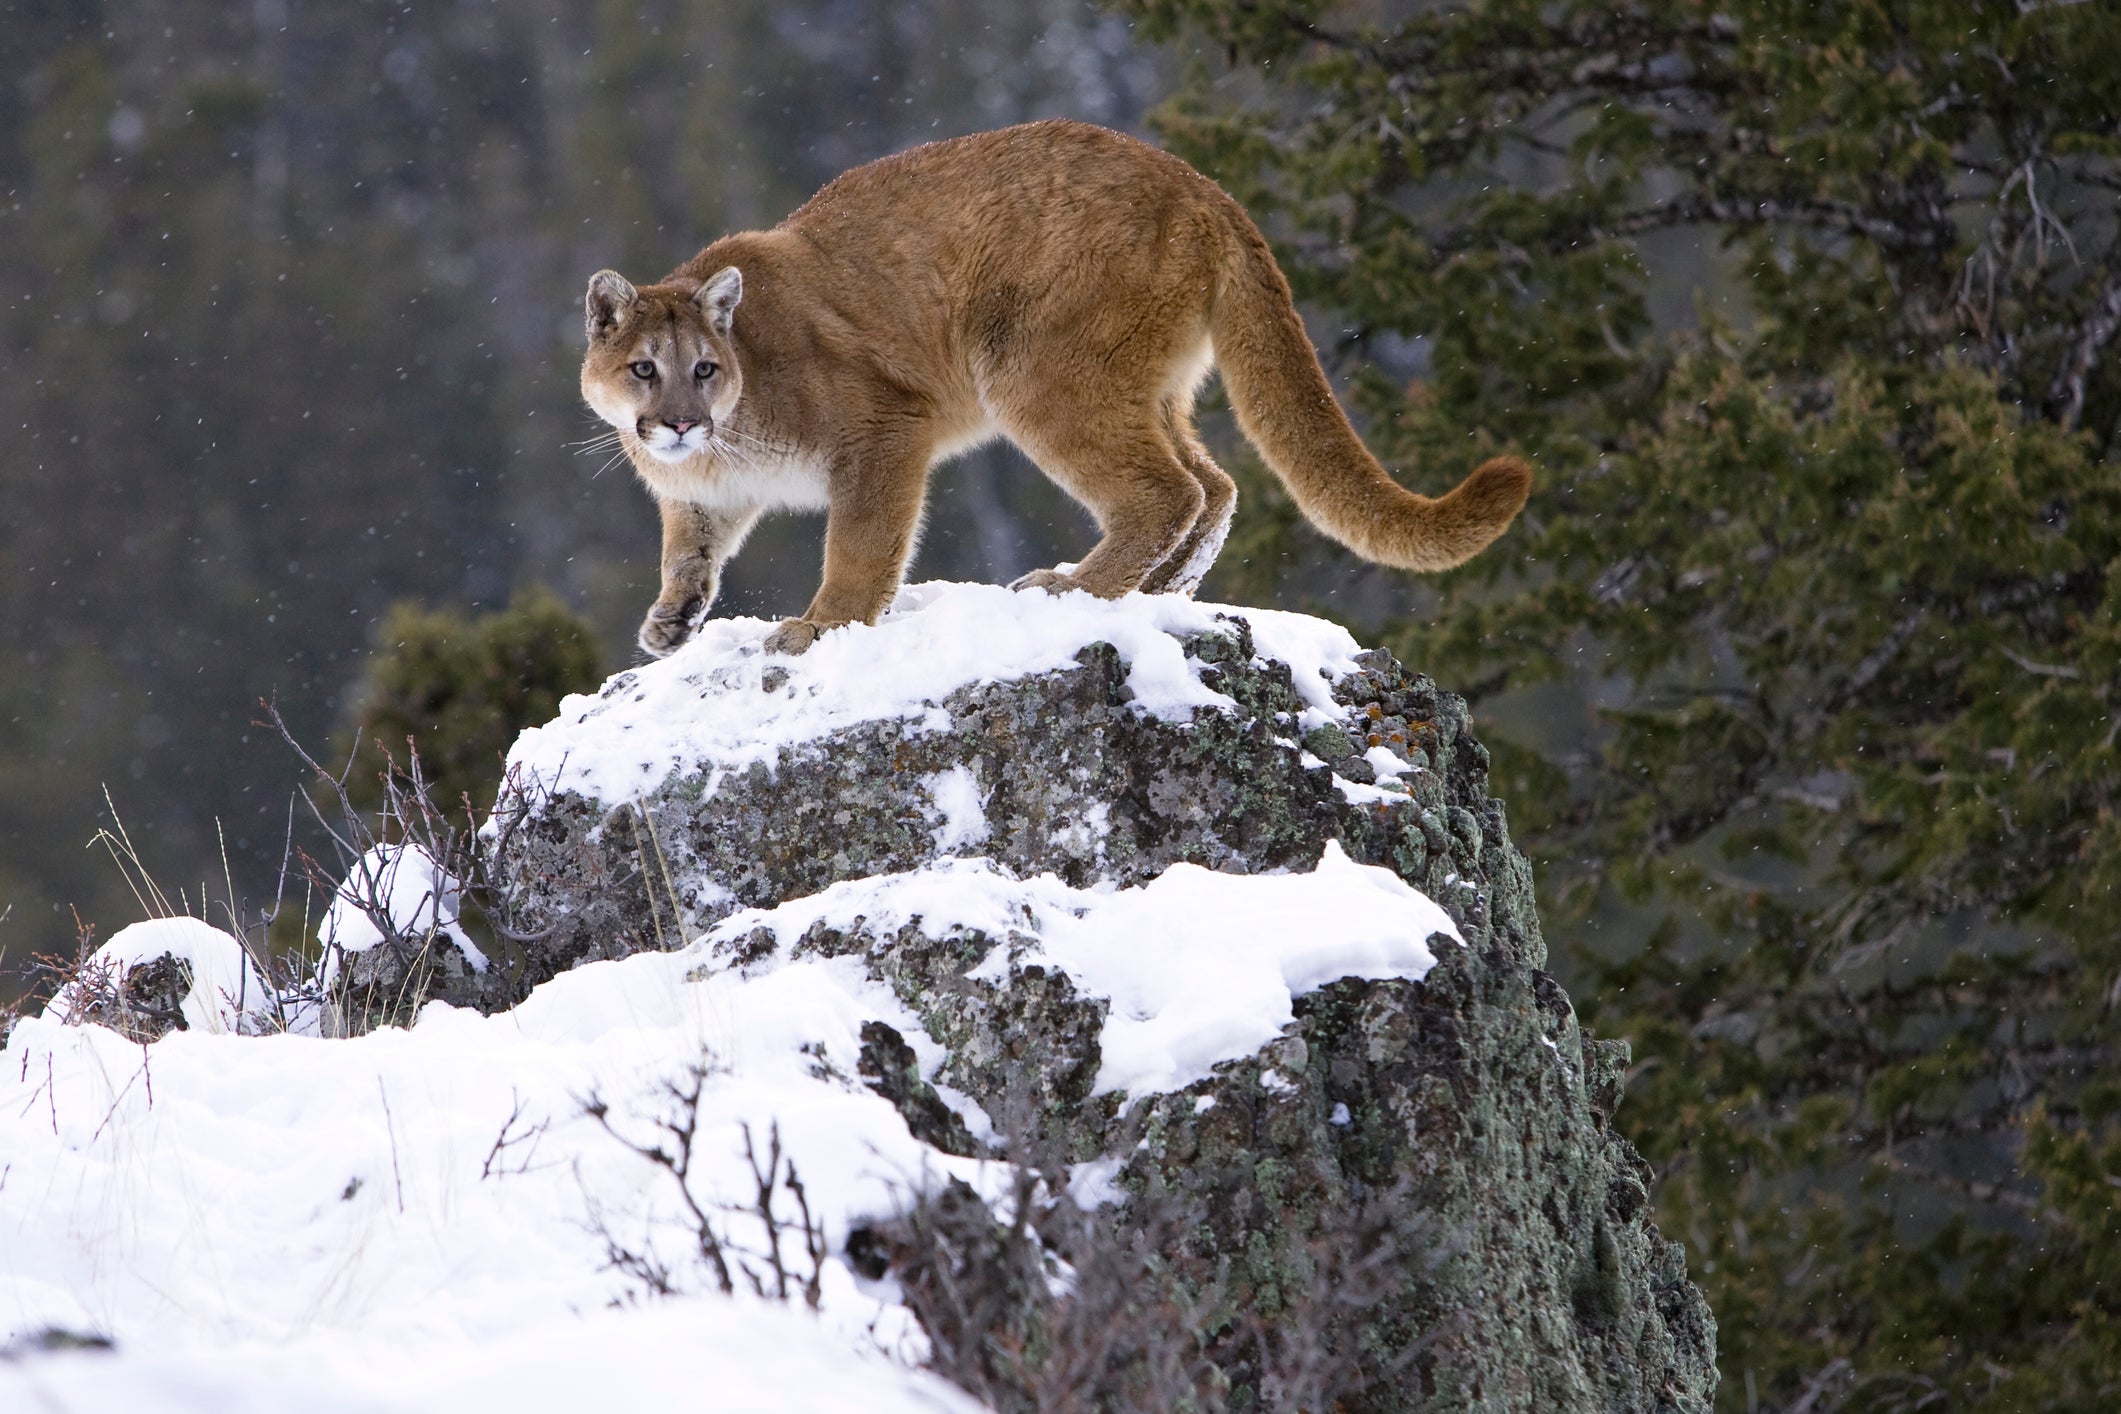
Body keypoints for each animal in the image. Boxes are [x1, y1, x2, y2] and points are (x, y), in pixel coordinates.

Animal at [589, 118, 1535, 661]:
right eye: (644, 368)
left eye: (703, 368)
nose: (675, 425)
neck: (727, 434)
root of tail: (1197, 182)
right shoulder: (700, 496)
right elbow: (688, 551)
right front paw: (672, 620)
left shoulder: (883, 431)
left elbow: (859, 546)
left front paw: (820, 628)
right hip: (1142, 381)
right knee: (1213, 485)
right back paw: (1151, 591)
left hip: (1036, 372)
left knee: (1167, 490)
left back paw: (1073, 588)